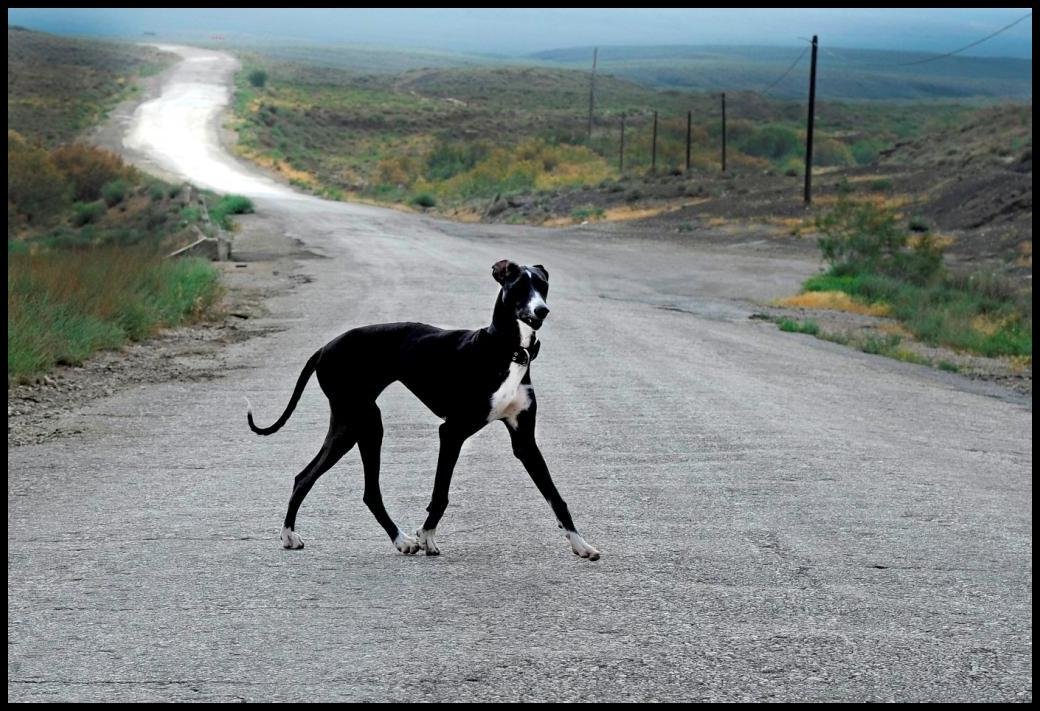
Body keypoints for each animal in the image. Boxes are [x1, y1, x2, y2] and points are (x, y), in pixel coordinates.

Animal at [245, 259, 603, 561]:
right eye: (518, 287)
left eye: (543, 285)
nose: (541, 311)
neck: (504, 350)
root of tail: (323, 348)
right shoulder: (452, 431)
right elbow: (441, 493)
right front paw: (427, 535)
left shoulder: (524, 440)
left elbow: (555, 496)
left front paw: (581, 544)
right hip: (365, 421)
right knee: (367, 491)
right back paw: (400, 539)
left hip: (349, 424)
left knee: (305, 476)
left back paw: (291, 535)